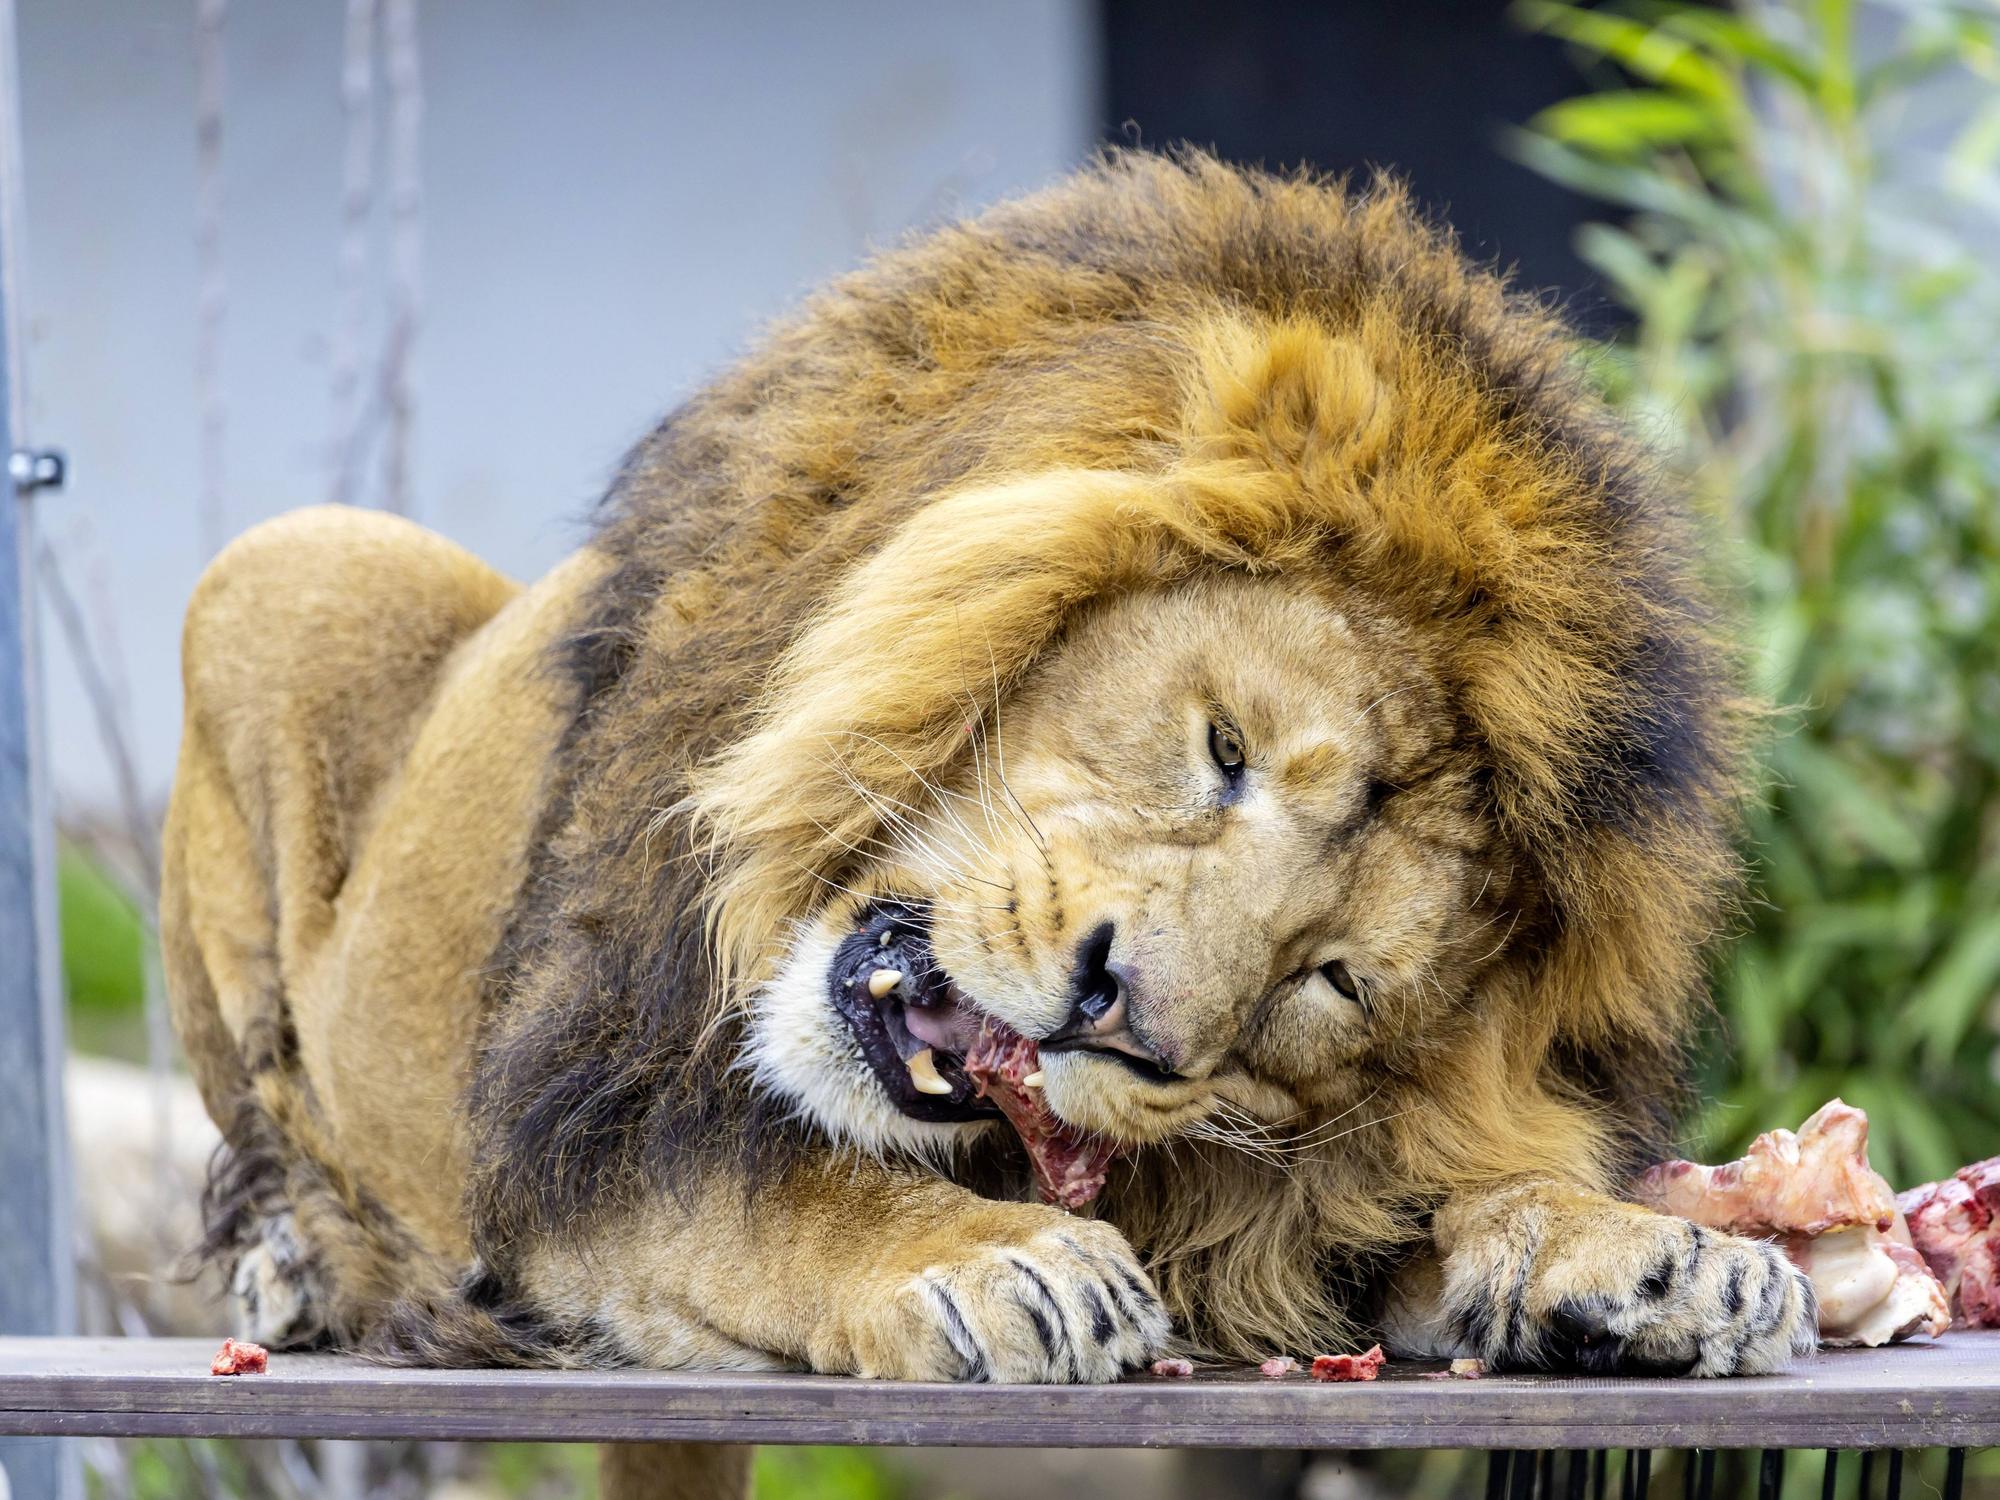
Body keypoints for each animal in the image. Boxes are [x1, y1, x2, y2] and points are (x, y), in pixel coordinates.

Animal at [163, 152, 1813, 1495]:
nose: (1121, 1017)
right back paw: (304, 1263)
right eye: (1224, 748)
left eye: (1330, 981)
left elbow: (1421, 1206)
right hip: (290, 564)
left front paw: (1648, 1254)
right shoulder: (579, 1128)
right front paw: (995, 1262)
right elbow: (773, 1200)